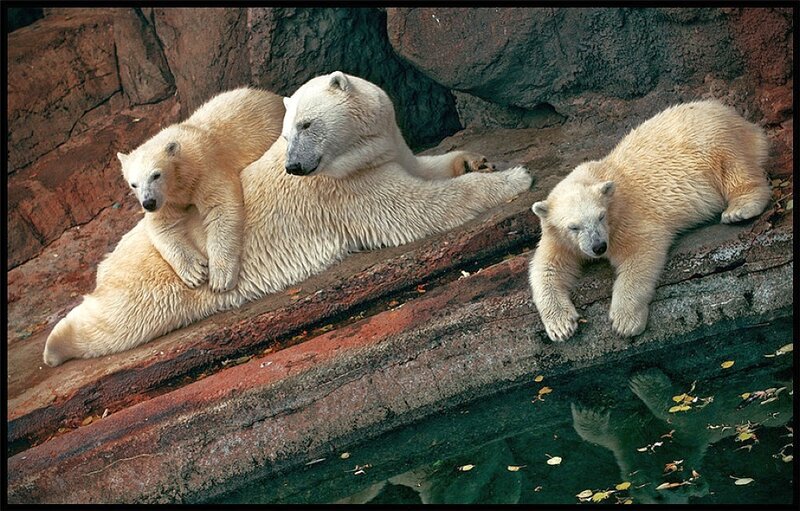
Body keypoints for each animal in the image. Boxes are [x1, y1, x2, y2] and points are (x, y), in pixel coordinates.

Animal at [117, 87, 284, 292]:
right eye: (133, 184)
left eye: (156, 175)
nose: (148, 203)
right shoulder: (167, 198)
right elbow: (161, 226)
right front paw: (195, 272)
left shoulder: (204, 168)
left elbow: (220, 207)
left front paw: (220, 278)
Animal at [528, 100, 770, 341]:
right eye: (573, 227)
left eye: (601, 216)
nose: (599, 247)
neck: (601, 176)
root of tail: (732, 114)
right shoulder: (557, 237)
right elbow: (545, 268)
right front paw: (561, 326)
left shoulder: (625, 217)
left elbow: (640, 251)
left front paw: (625, 322)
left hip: (712, 140)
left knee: (734, 167)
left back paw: (739, 209)